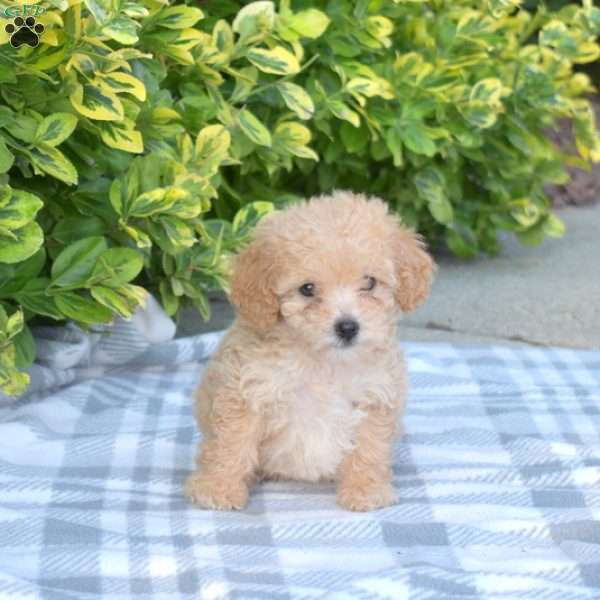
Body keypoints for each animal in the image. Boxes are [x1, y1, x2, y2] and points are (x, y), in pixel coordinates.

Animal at [185, 191, 434, 510]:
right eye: (307, 289)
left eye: (369, 282)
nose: (347, 327)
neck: (323, 361)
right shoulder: (246, 391)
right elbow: (231, 443)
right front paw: (218, 487)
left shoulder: (375, 395)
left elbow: (369, 448)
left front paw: (365, 490)